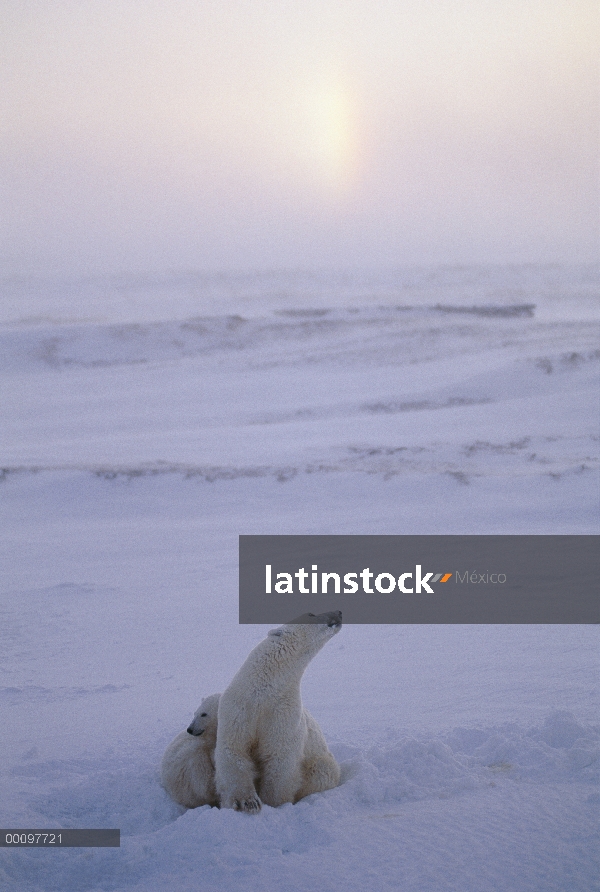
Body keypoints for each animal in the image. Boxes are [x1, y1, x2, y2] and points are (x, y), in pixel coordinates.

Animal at [214, 608, 342, 812]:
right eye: (311, 614)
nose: (338, 612)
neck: (262, 691)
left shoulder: (284, 714)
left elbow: (280, 760)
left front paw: (272, 804)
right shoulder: (238, 709)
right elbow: (233, 749)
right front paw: (247, 802)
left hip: (322, 762)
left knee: (320, 773)